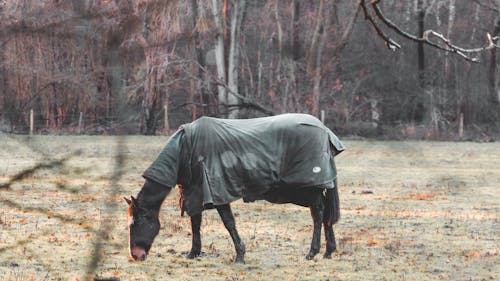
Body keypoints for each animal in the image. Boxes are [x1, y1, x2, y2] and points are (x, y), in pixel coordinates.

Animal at [124, 112, 344, 262]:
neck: (185, 149)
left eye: (136, 222)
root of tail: (325, 131)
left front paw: (239, 255)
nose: (136, 255)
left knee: (318, 213)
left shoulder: (218, 192)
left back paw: (313, 252)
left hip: (309, 188)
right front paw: (193, 253)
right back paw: (328, 251)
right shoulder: (193, 192)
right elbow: (195, 223)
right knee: (325, 213)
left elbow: (229, 223)